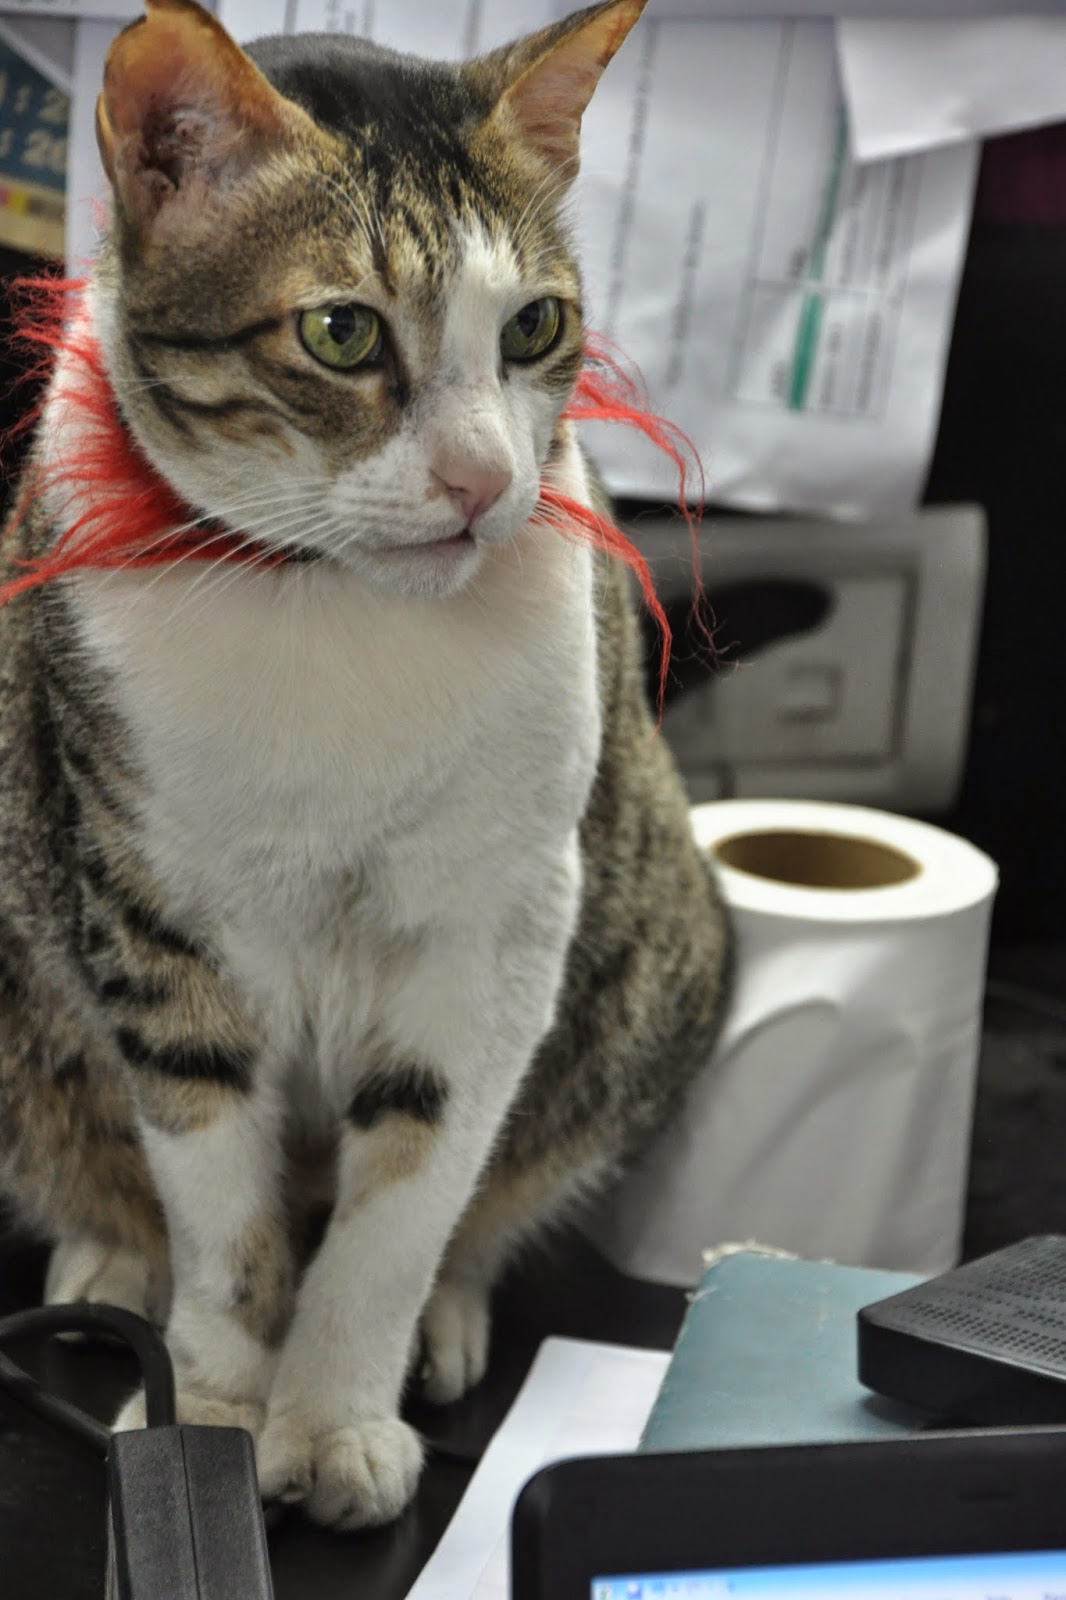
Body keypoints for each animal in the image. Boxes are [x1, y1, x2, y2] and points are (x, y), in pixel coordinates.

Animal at [0, 0, 730, 1530]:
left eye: (534, 325)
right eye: (341, 331)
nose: (480, 480)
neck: (329, 597)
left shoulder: (494, 937)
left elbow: (401, 1209)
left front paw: (333, 1414)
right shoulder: (151, 918)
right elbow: (223, 1216)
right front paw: (214, 1411)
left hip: (650, 942)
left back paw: (448, 1319)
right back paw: (113, 1264)